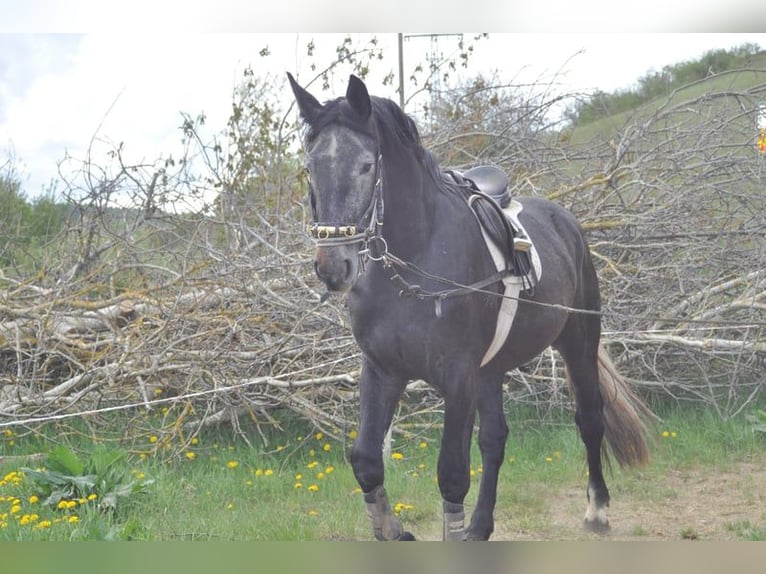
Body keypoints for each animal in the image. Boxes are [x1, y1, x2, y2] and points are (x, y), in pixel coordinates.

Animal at [288, 73, 656, 544]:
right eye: (310, 167)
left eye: (367, 166)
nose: (333, 266)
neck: (417, 255)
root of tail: (565, 220)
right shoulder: (382, 370)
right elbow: (367, 460)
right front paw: (395, 531)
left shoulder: (458, 375)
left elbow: (451, 474)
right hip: (492, 370)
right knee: (495, 439)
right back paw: (480, 527)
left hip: (578, 341)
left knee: (590, 419)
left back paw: (597, 510)